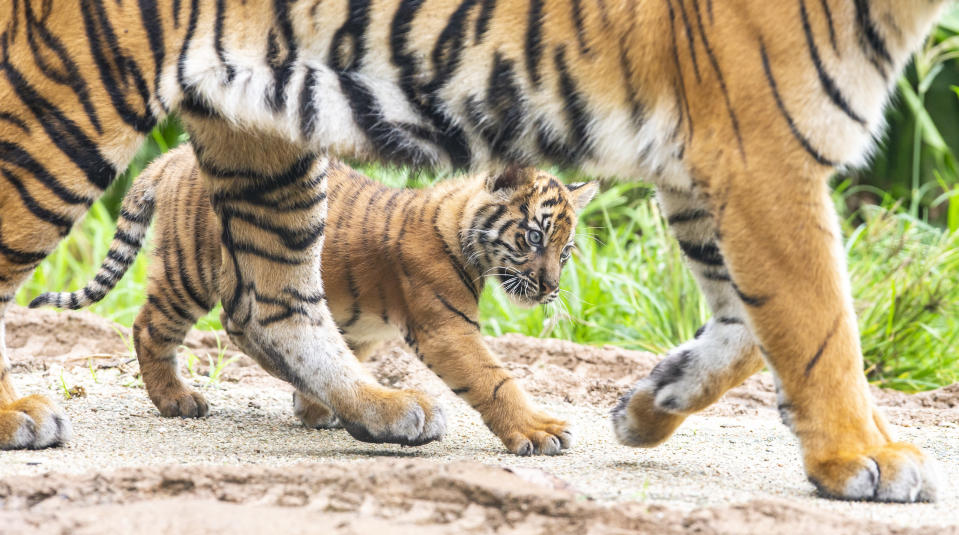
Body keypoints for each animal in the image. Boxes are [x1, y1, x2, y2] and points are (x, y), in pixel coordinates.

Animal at [0, 0, 944, 502]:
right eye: (533, 238)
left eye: (569, 249)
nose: (550, 290)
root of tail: (168, 165)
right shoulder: (759, 151)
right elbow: (819, 321)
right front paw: (860, 457)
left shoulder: (702, 164)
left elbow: (750, 329)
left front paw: (648, 405)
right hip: (70, 99)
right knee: (147, 311)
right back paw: (36, 412)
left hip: (261, 139)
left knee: (275, 307)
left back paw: (373, 408)